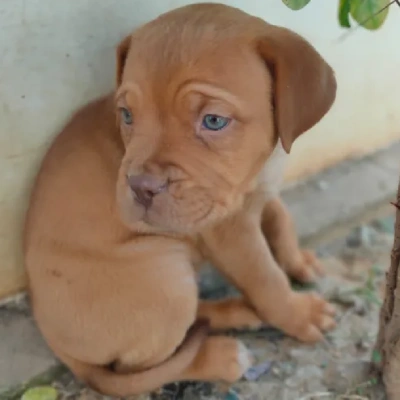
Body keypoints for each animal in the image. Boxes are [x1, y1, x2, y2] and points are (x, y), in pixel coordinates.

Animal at [24, 3, 338, 396]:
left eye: (214, 120)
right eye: (127, 115)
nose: (141, 187)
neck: (256, 172)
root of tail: (61, 348)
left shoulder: (257, 192)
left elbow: (282, 219)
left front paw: (298, 261)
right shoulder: (230, 231)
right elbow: (266, 278)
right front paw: (298, 314)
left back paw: (236, 312)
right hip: (164, 275)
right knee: (147, 363)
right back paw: (223, 356)